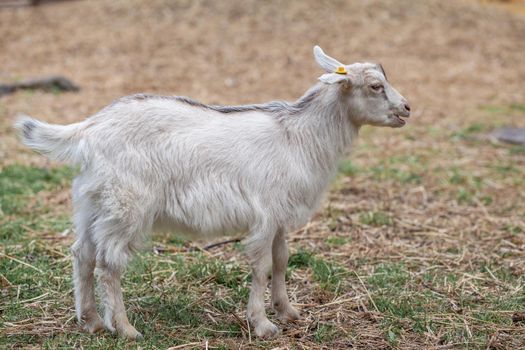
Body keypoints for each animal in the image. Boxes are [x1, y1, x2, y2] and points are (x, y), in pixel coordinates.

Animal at [14, 46, 410, 340]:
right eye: (375, 86)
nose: (407, 108)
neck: (299, 136)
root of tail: (89, 129)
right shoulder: (265, 212)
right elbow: (262, 266)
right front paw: (262, 324)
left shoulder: (281, 215)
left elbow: (282, 260)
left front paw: (288, 312)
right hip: (127, 205)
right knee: (110, 263)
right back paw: (125, 328)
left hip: (92, 202)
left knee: (82, 253)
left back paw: (92, 322)